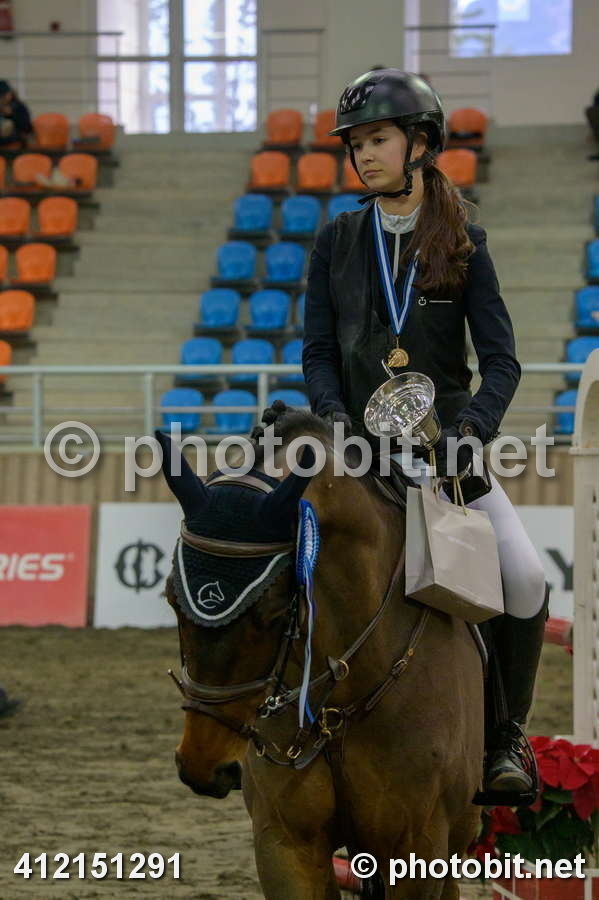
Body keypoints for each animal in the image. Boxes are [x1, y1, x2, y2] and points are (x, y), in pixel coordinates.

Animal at [156, 407, 484, 899]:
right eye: (171, 599)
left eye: (274, 611)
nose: (202, 764)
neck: (340, 701)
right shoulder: (286, 843)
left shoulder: (419, 849)